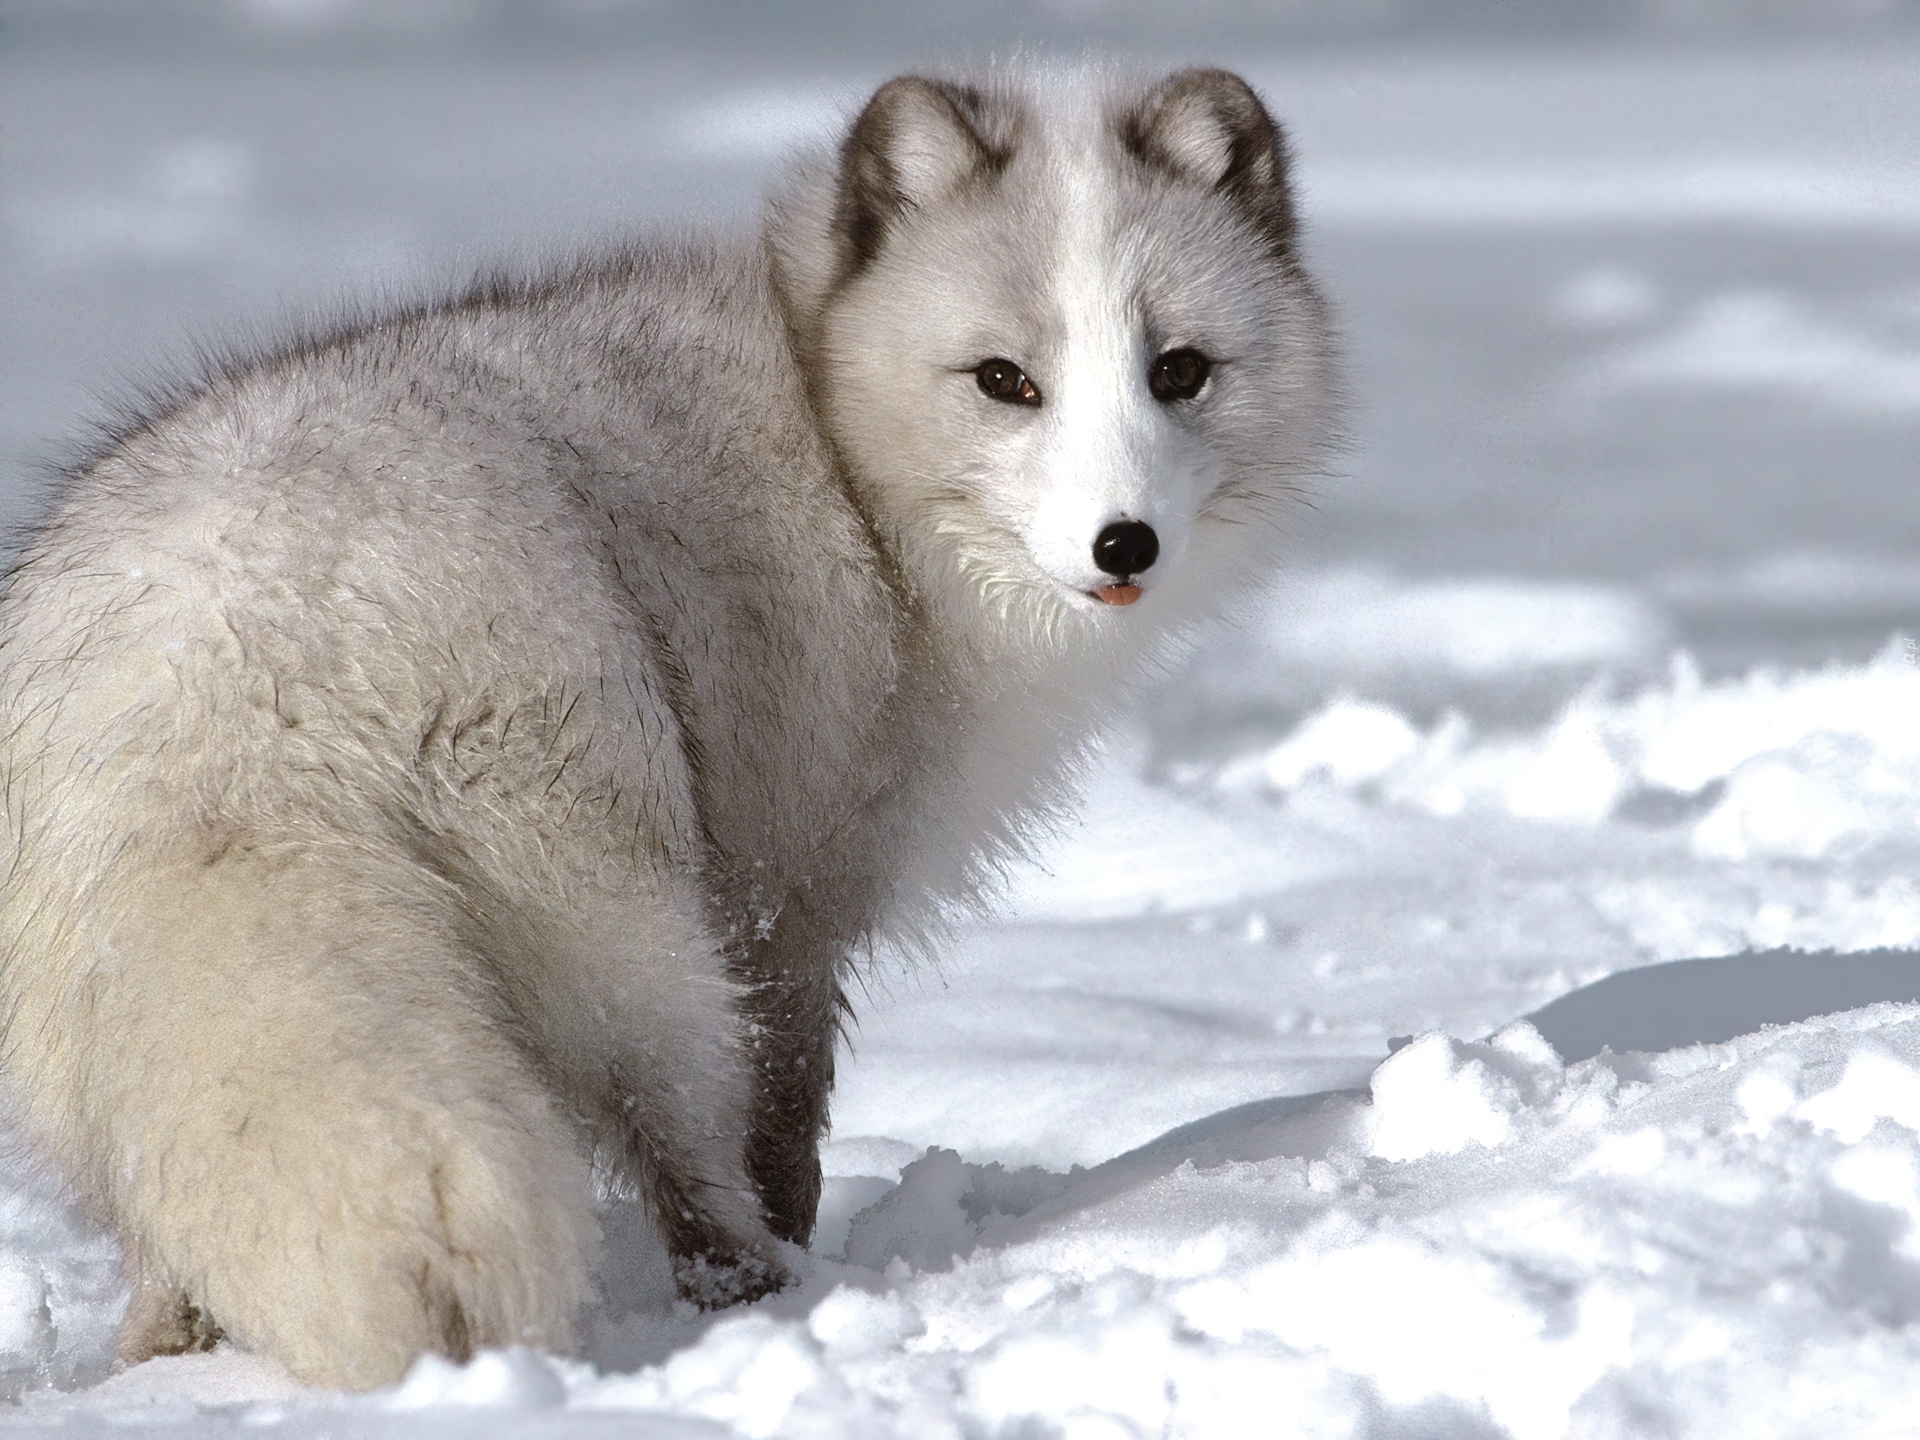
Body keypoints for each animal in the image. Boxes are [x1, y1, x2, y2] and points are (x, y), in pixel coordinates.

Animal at [0, 64, 1336, 1390]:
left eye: (1180, 371)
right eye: (1006, 381)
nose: (1125, 545)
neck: (838, 441)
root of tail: (229, 657)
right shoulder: (790, 895)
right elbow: (785, 1116)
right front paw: (794, 1243)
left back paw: (164, 1363)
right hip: (624, 926)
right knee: (681, 1146)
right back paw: (759, 1294)